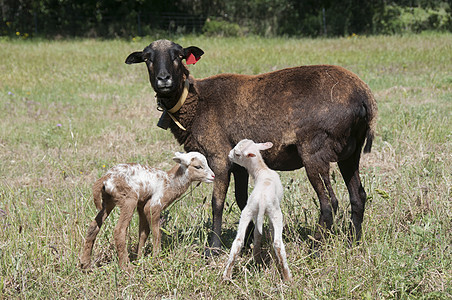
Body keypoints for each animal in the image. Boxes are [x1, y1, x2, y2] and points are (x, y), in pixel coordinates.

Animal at [223, 139, 294, 282]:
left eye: (237, 154)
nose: (228, 155)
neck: (261, 170)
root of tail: (262, 199)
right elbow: (271, 234)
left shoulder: (255, 214)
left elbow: (257, 233)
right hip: (276, 213)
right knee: (278, 243)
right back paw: (287, 276)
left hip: (248, 211)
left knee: (239, 241)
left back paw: (227, 275)